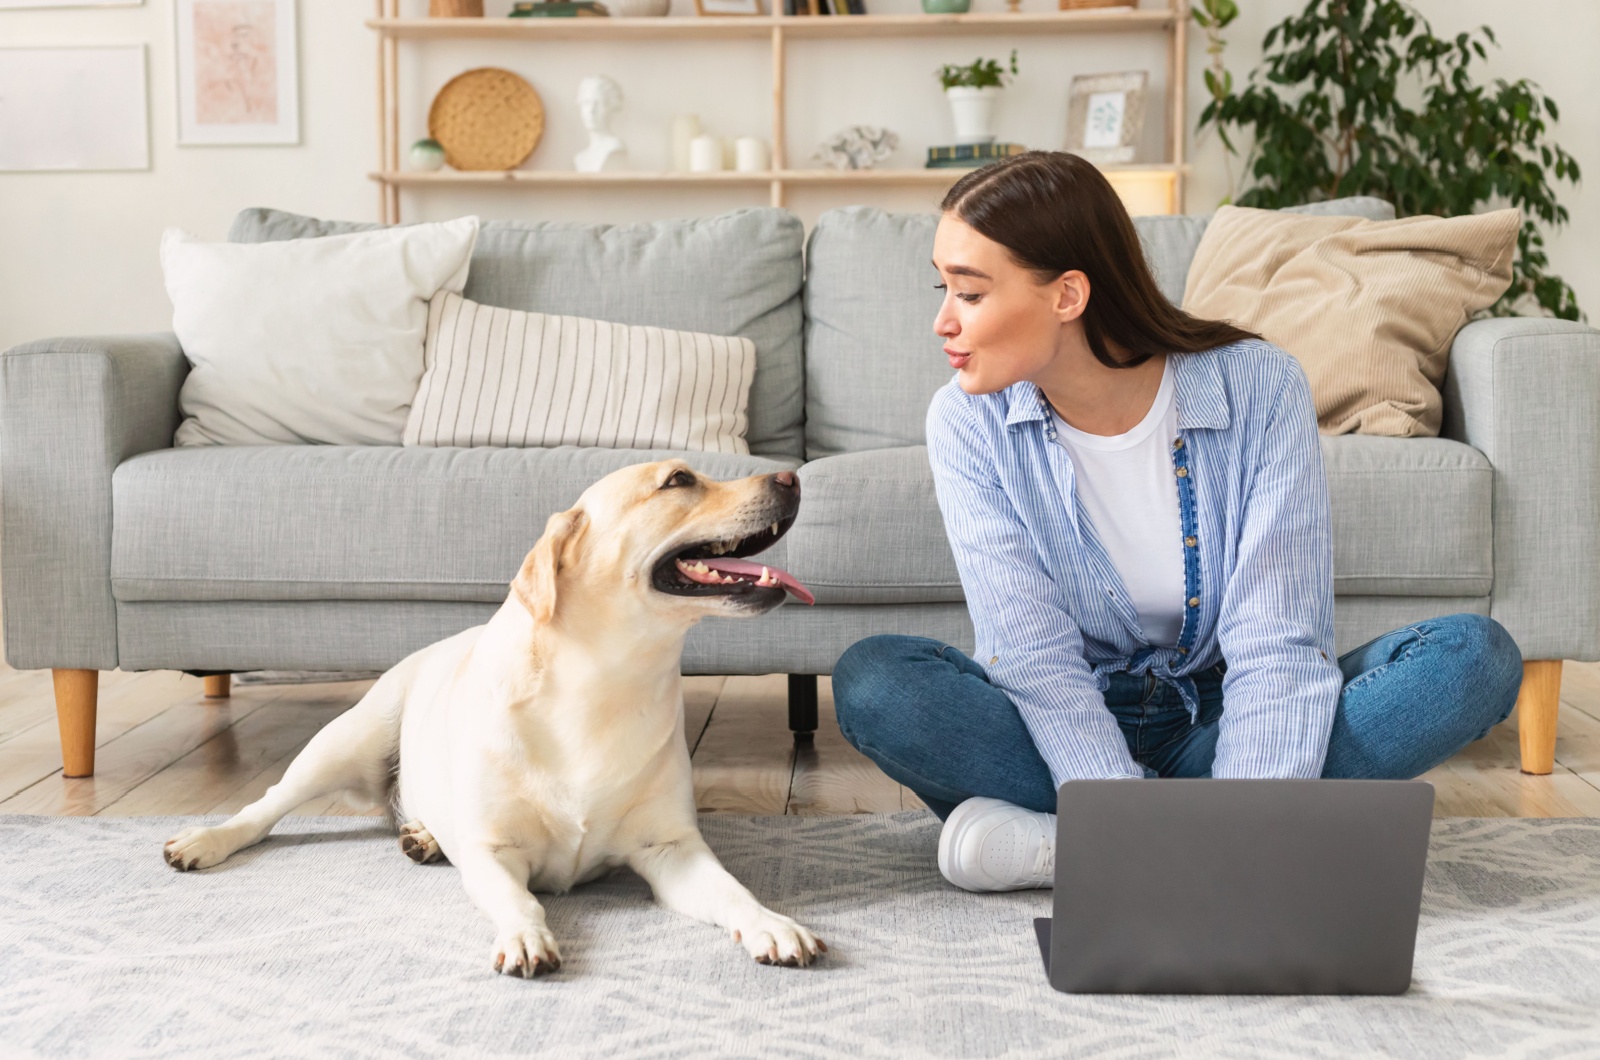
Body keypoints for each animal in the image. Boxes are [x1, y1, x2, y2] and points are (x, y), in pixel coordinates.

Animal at [162, 464, 825, 979]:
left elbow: (734, 892)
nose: (793, 476)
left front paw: (772, 924)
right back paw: (203, 841)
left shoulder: (671, 849)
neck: (605, 684)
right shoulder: (491, 853)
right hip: (342, 744)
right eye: (679, 480)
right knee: (262, 808)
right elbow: (520, 901)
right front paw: (526, 938)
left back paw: (424, 837)